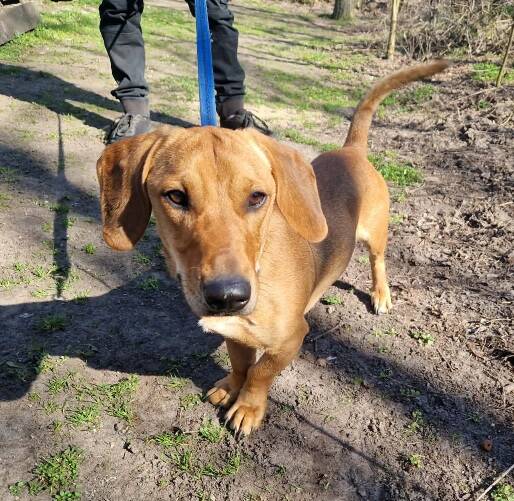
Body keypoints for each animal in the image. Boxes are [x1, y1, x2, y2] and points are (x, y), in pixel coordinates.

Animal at [96, 60, 449, 436]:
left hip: (376, 235)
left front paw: (248, 407)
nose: (228, 296)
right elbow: (241, 365)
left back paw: (381, 294)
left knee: (378, 262)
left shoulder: (291, 339)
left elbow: (260, 373)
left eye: (257, 197)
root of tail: (351, 151)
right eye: (175, 196)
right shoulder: (235, 334)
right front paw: (230, 387)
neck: (260, 266)